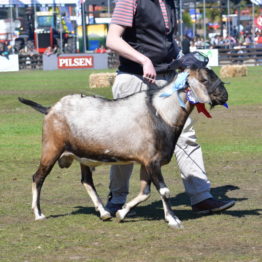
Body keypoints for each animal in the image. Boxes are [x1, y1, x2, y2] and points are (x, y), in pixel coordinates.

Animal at [18, 68, 227, 229]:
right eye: (204, 79)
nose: (224, 95)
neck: (160, 113)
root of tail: (50, 109)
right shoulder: (152, 162)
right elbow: (164, 191)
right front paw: (173, 220)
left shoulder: (146, 162)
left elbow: (145, 192)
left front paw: (121, 213)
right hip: (51, 149)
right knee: (38, 177)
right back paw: (38, 214)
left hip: (82, 155)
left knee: (86, 181)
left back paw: (104, 212)